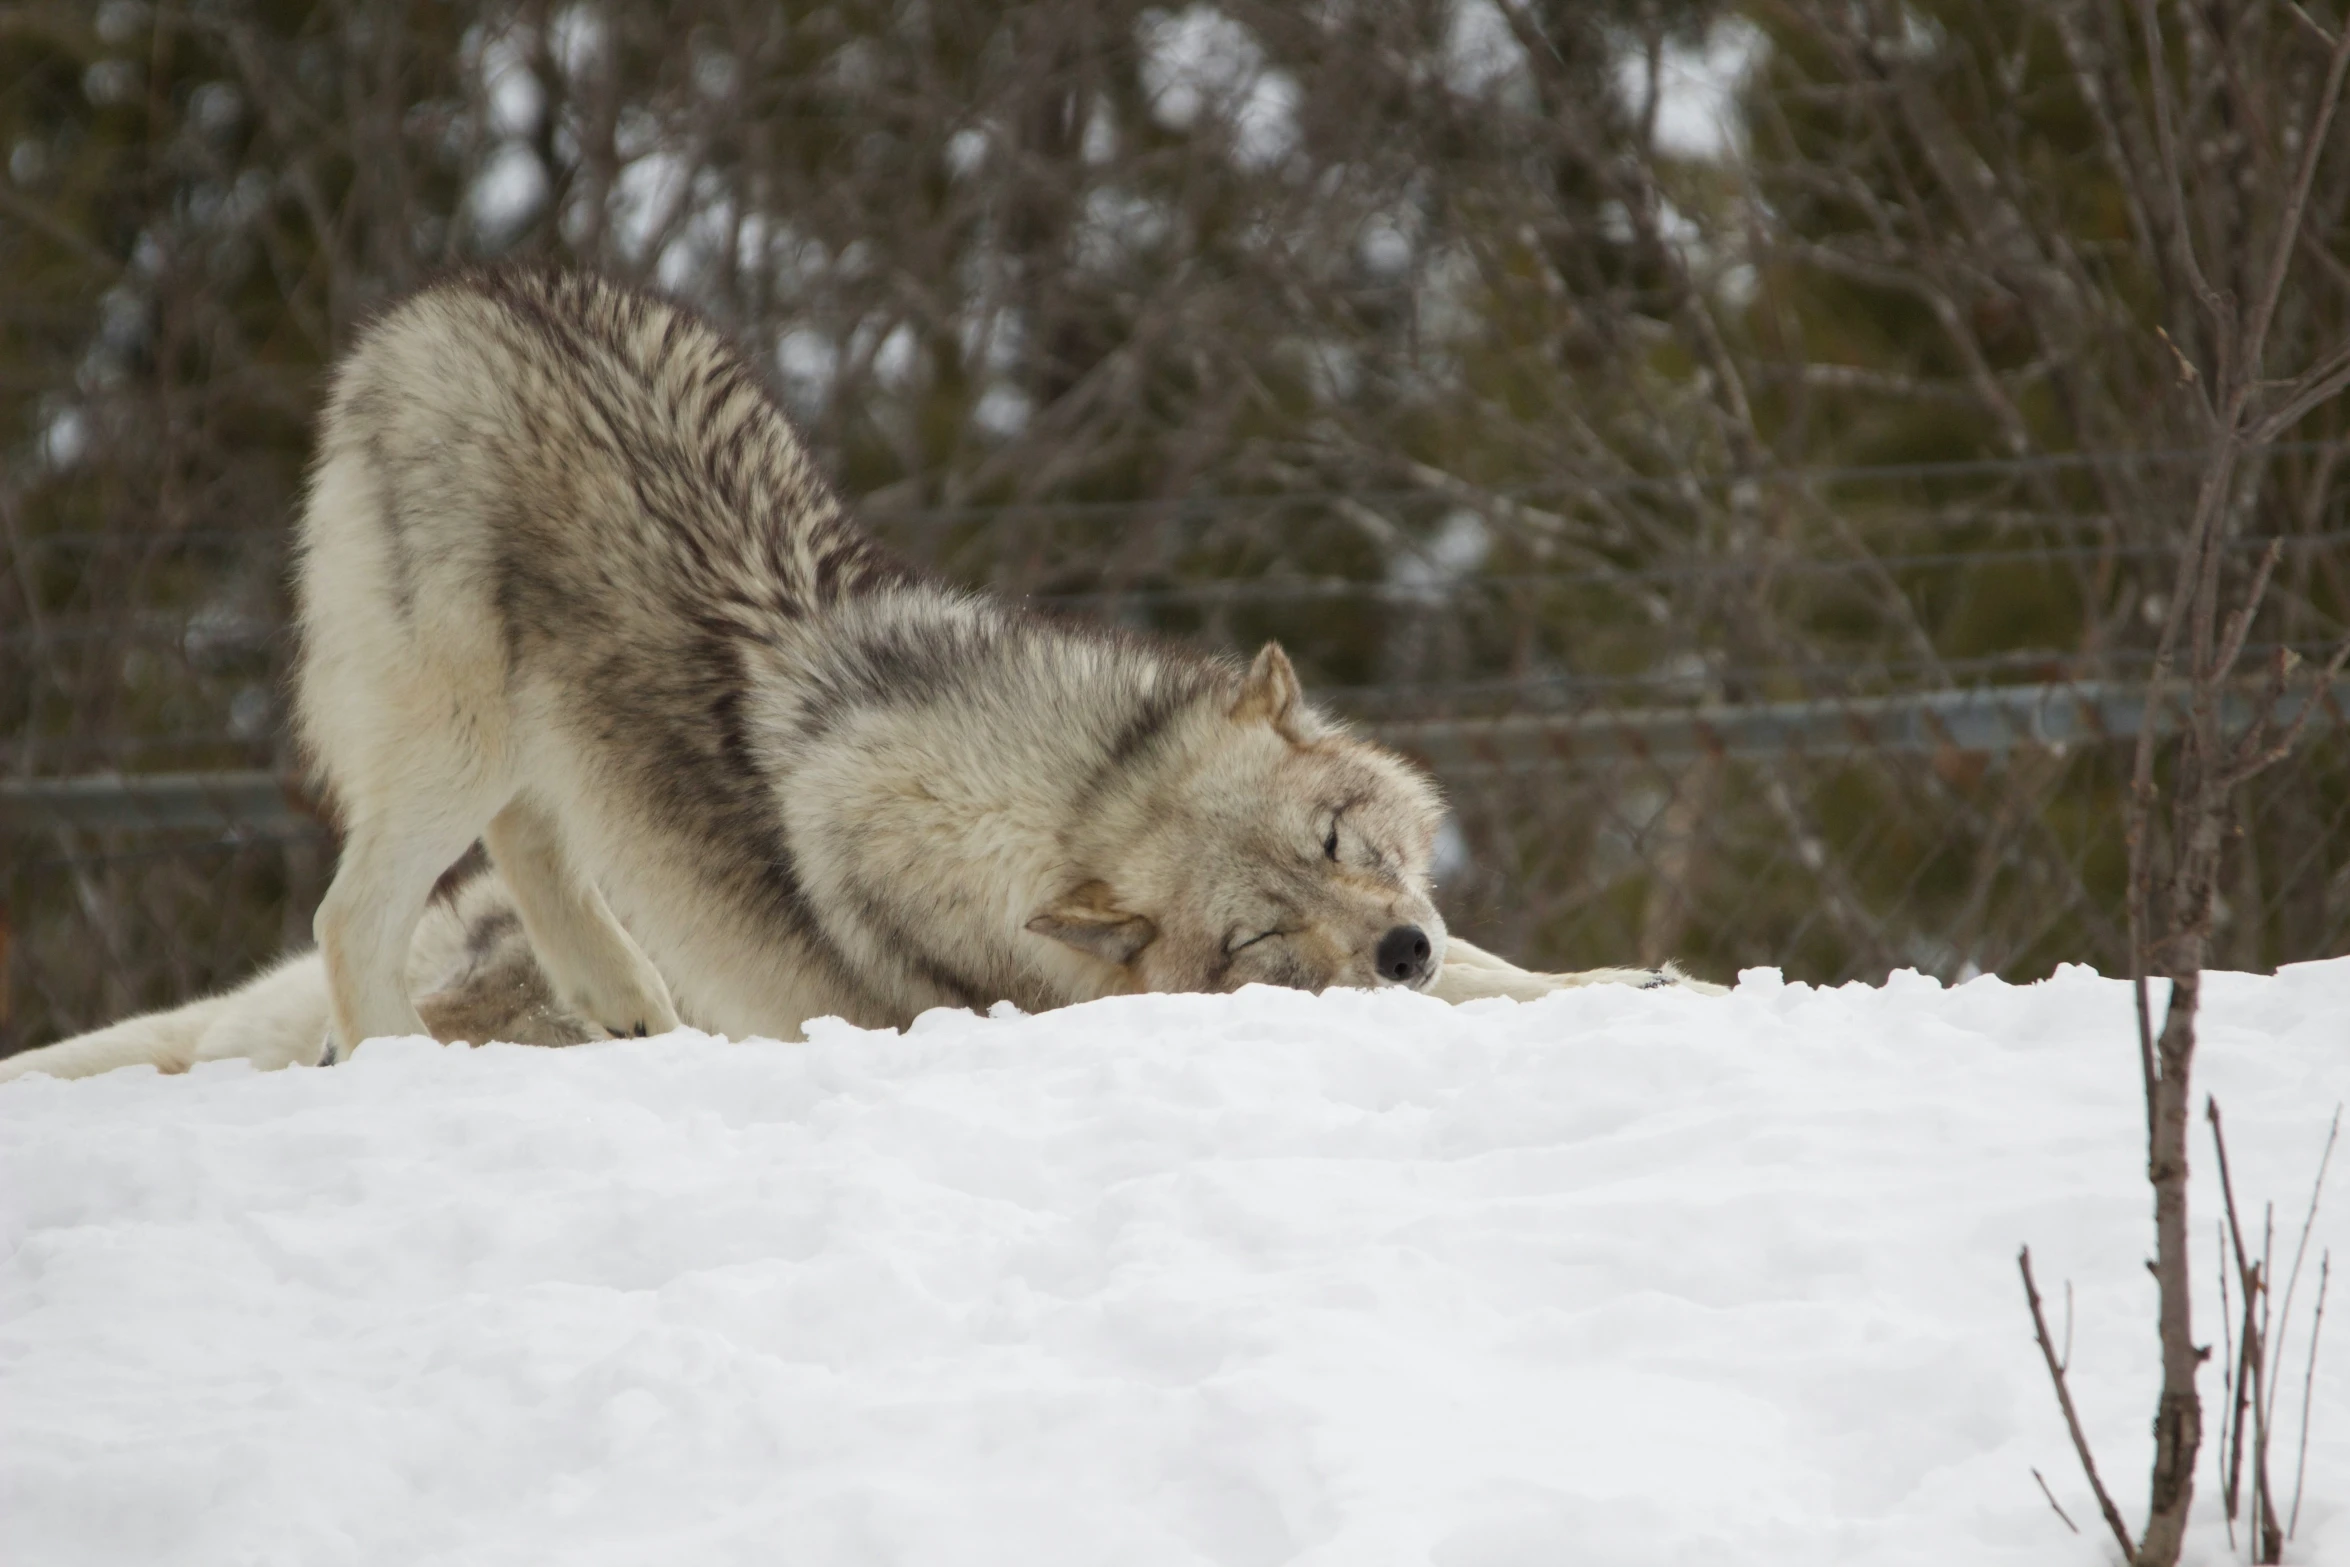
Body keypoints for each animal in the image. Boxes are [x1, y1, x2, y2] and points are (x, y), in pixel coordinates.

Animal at [4, 266, 1729, 1090]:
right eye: (1256, 932)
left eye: (1336, 839)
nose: (1391, 946)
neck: (1072, 786)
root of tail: (426, 310)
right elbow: (1451, 1001)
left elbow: (1515, 970)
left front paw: (1650, 982)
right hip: (456, 733)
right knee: (347, 912)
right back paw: (410, 1062)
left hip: (536, 745)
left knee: (538, 846)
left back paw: (626, 1003)